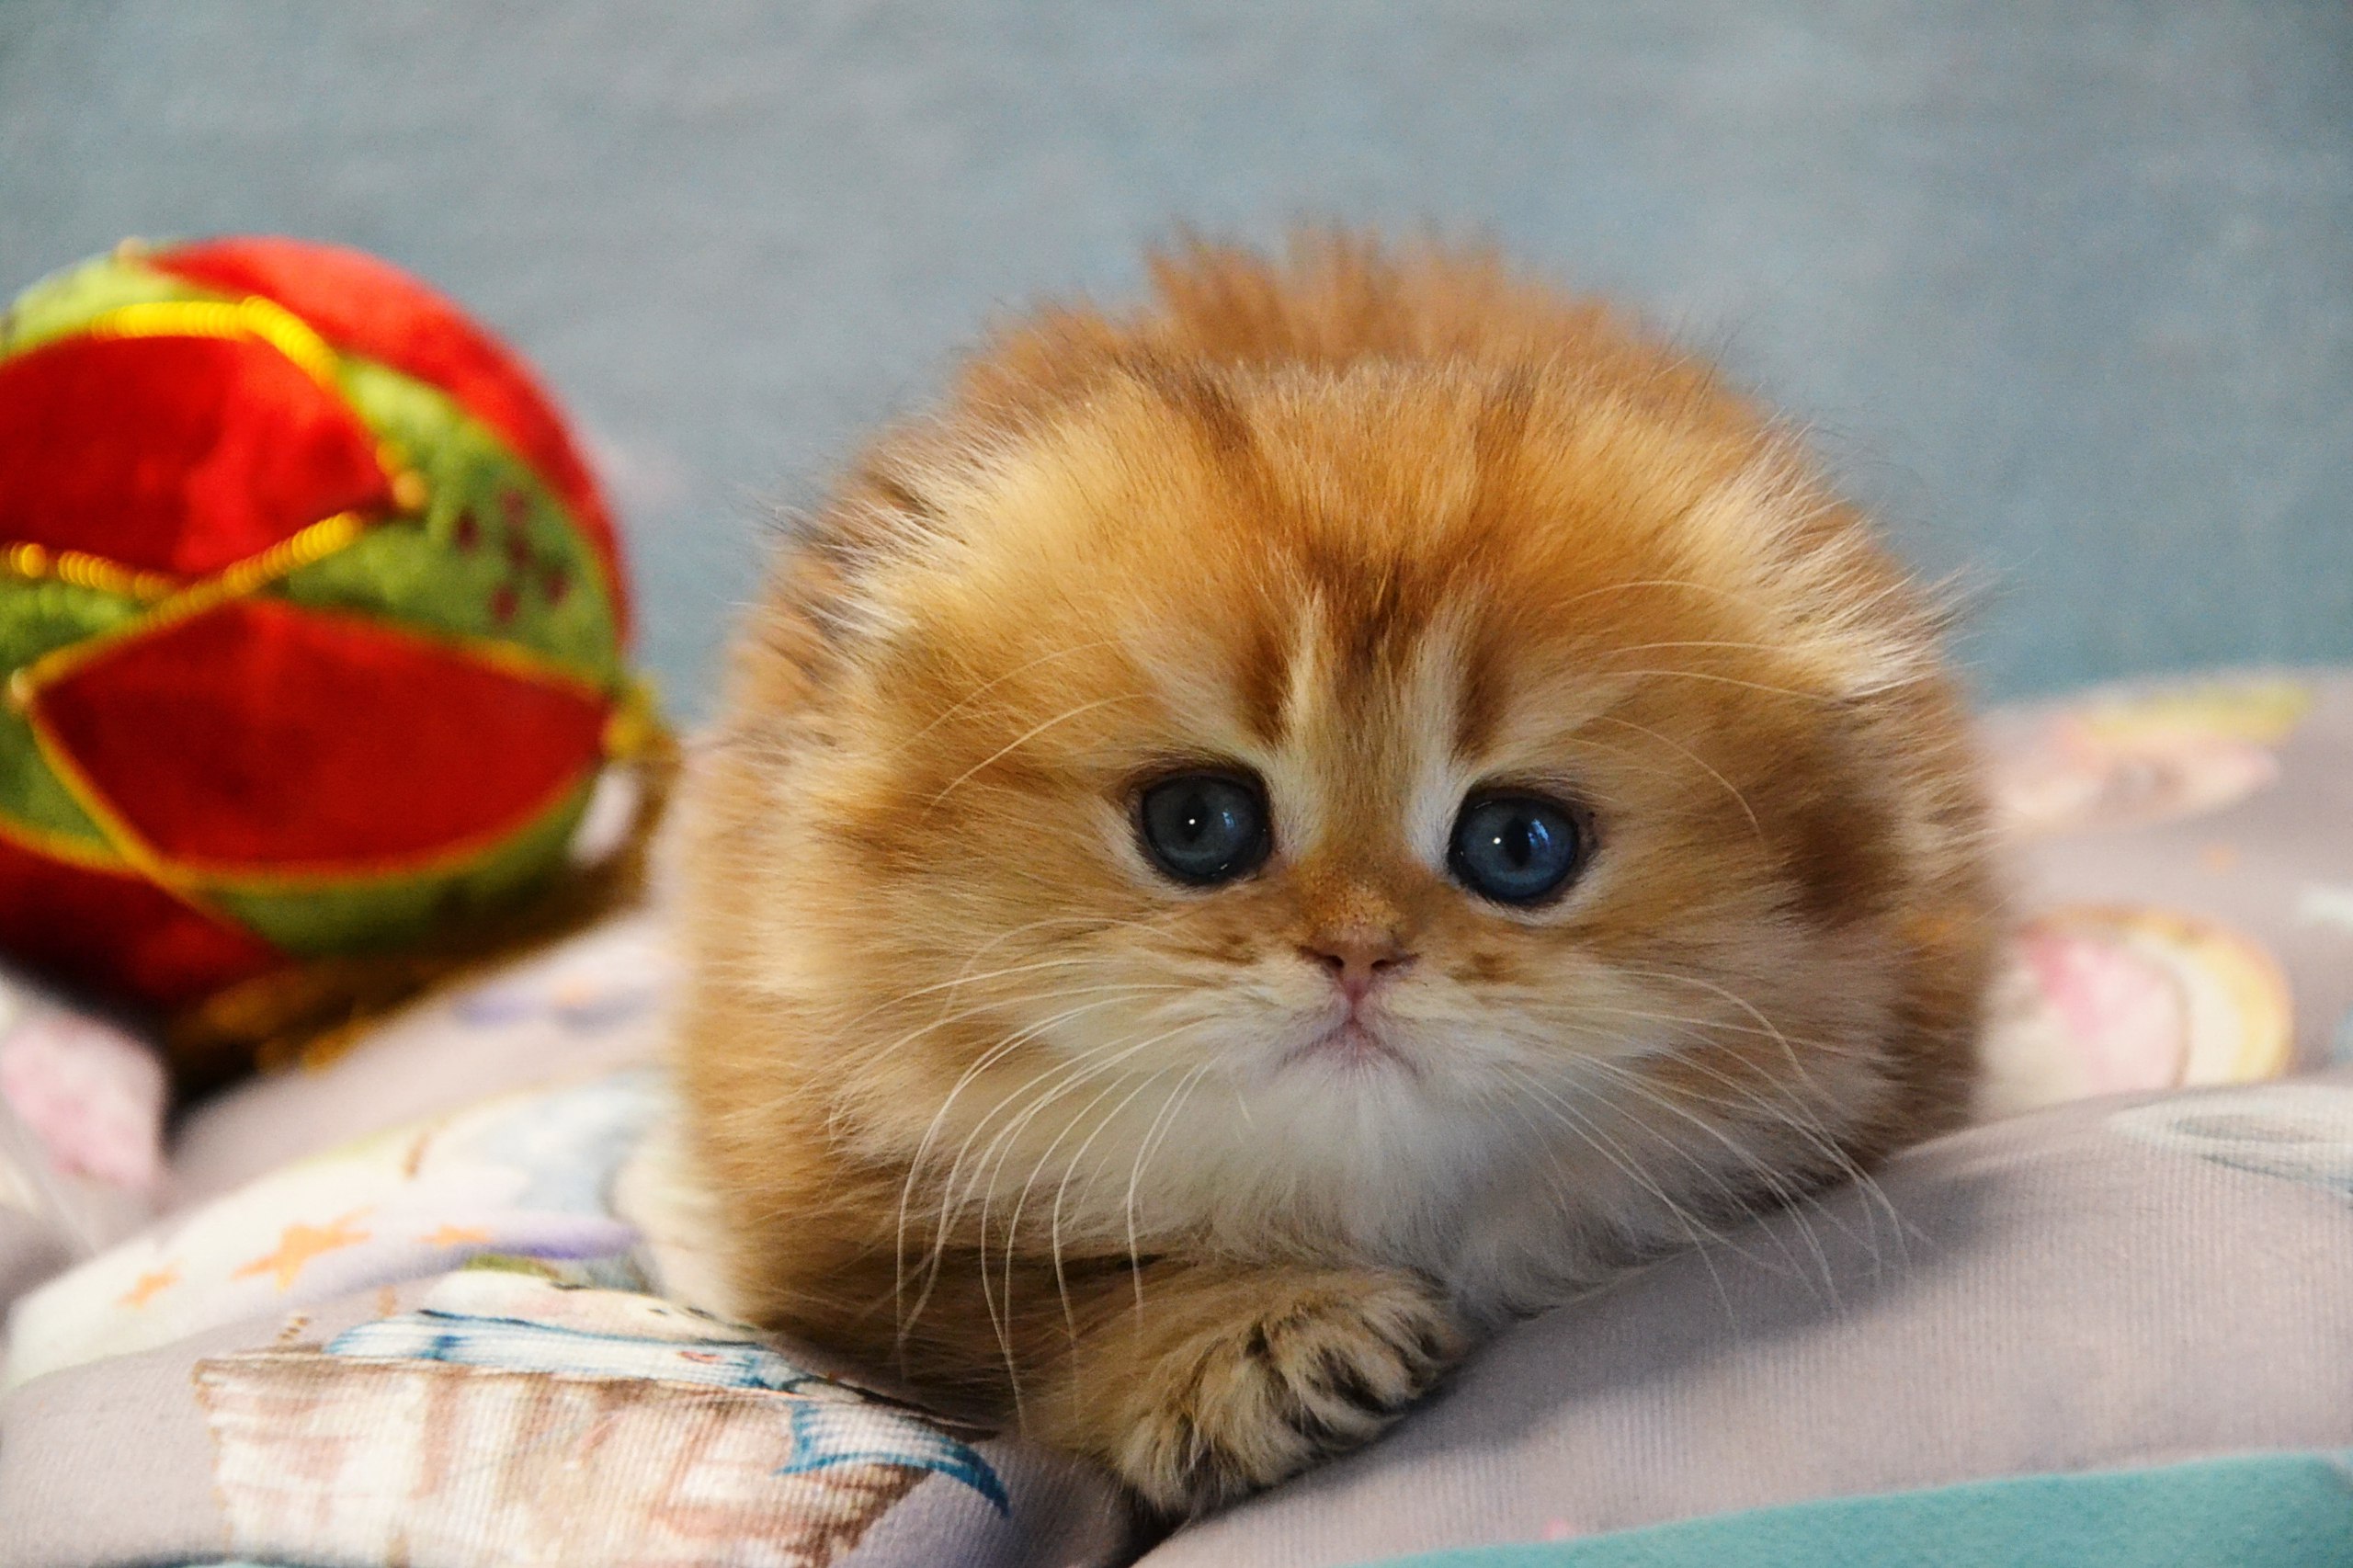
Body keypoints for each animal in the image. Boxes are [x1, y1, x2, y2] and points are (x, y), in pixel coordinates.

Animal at [670, 233, 1999, 1514]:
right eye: (1197, 824)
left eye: (1519, 845)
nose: (1360, 951)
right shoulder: (818, 1211)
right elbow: (1032, 1310)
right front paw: (1247, 1341)